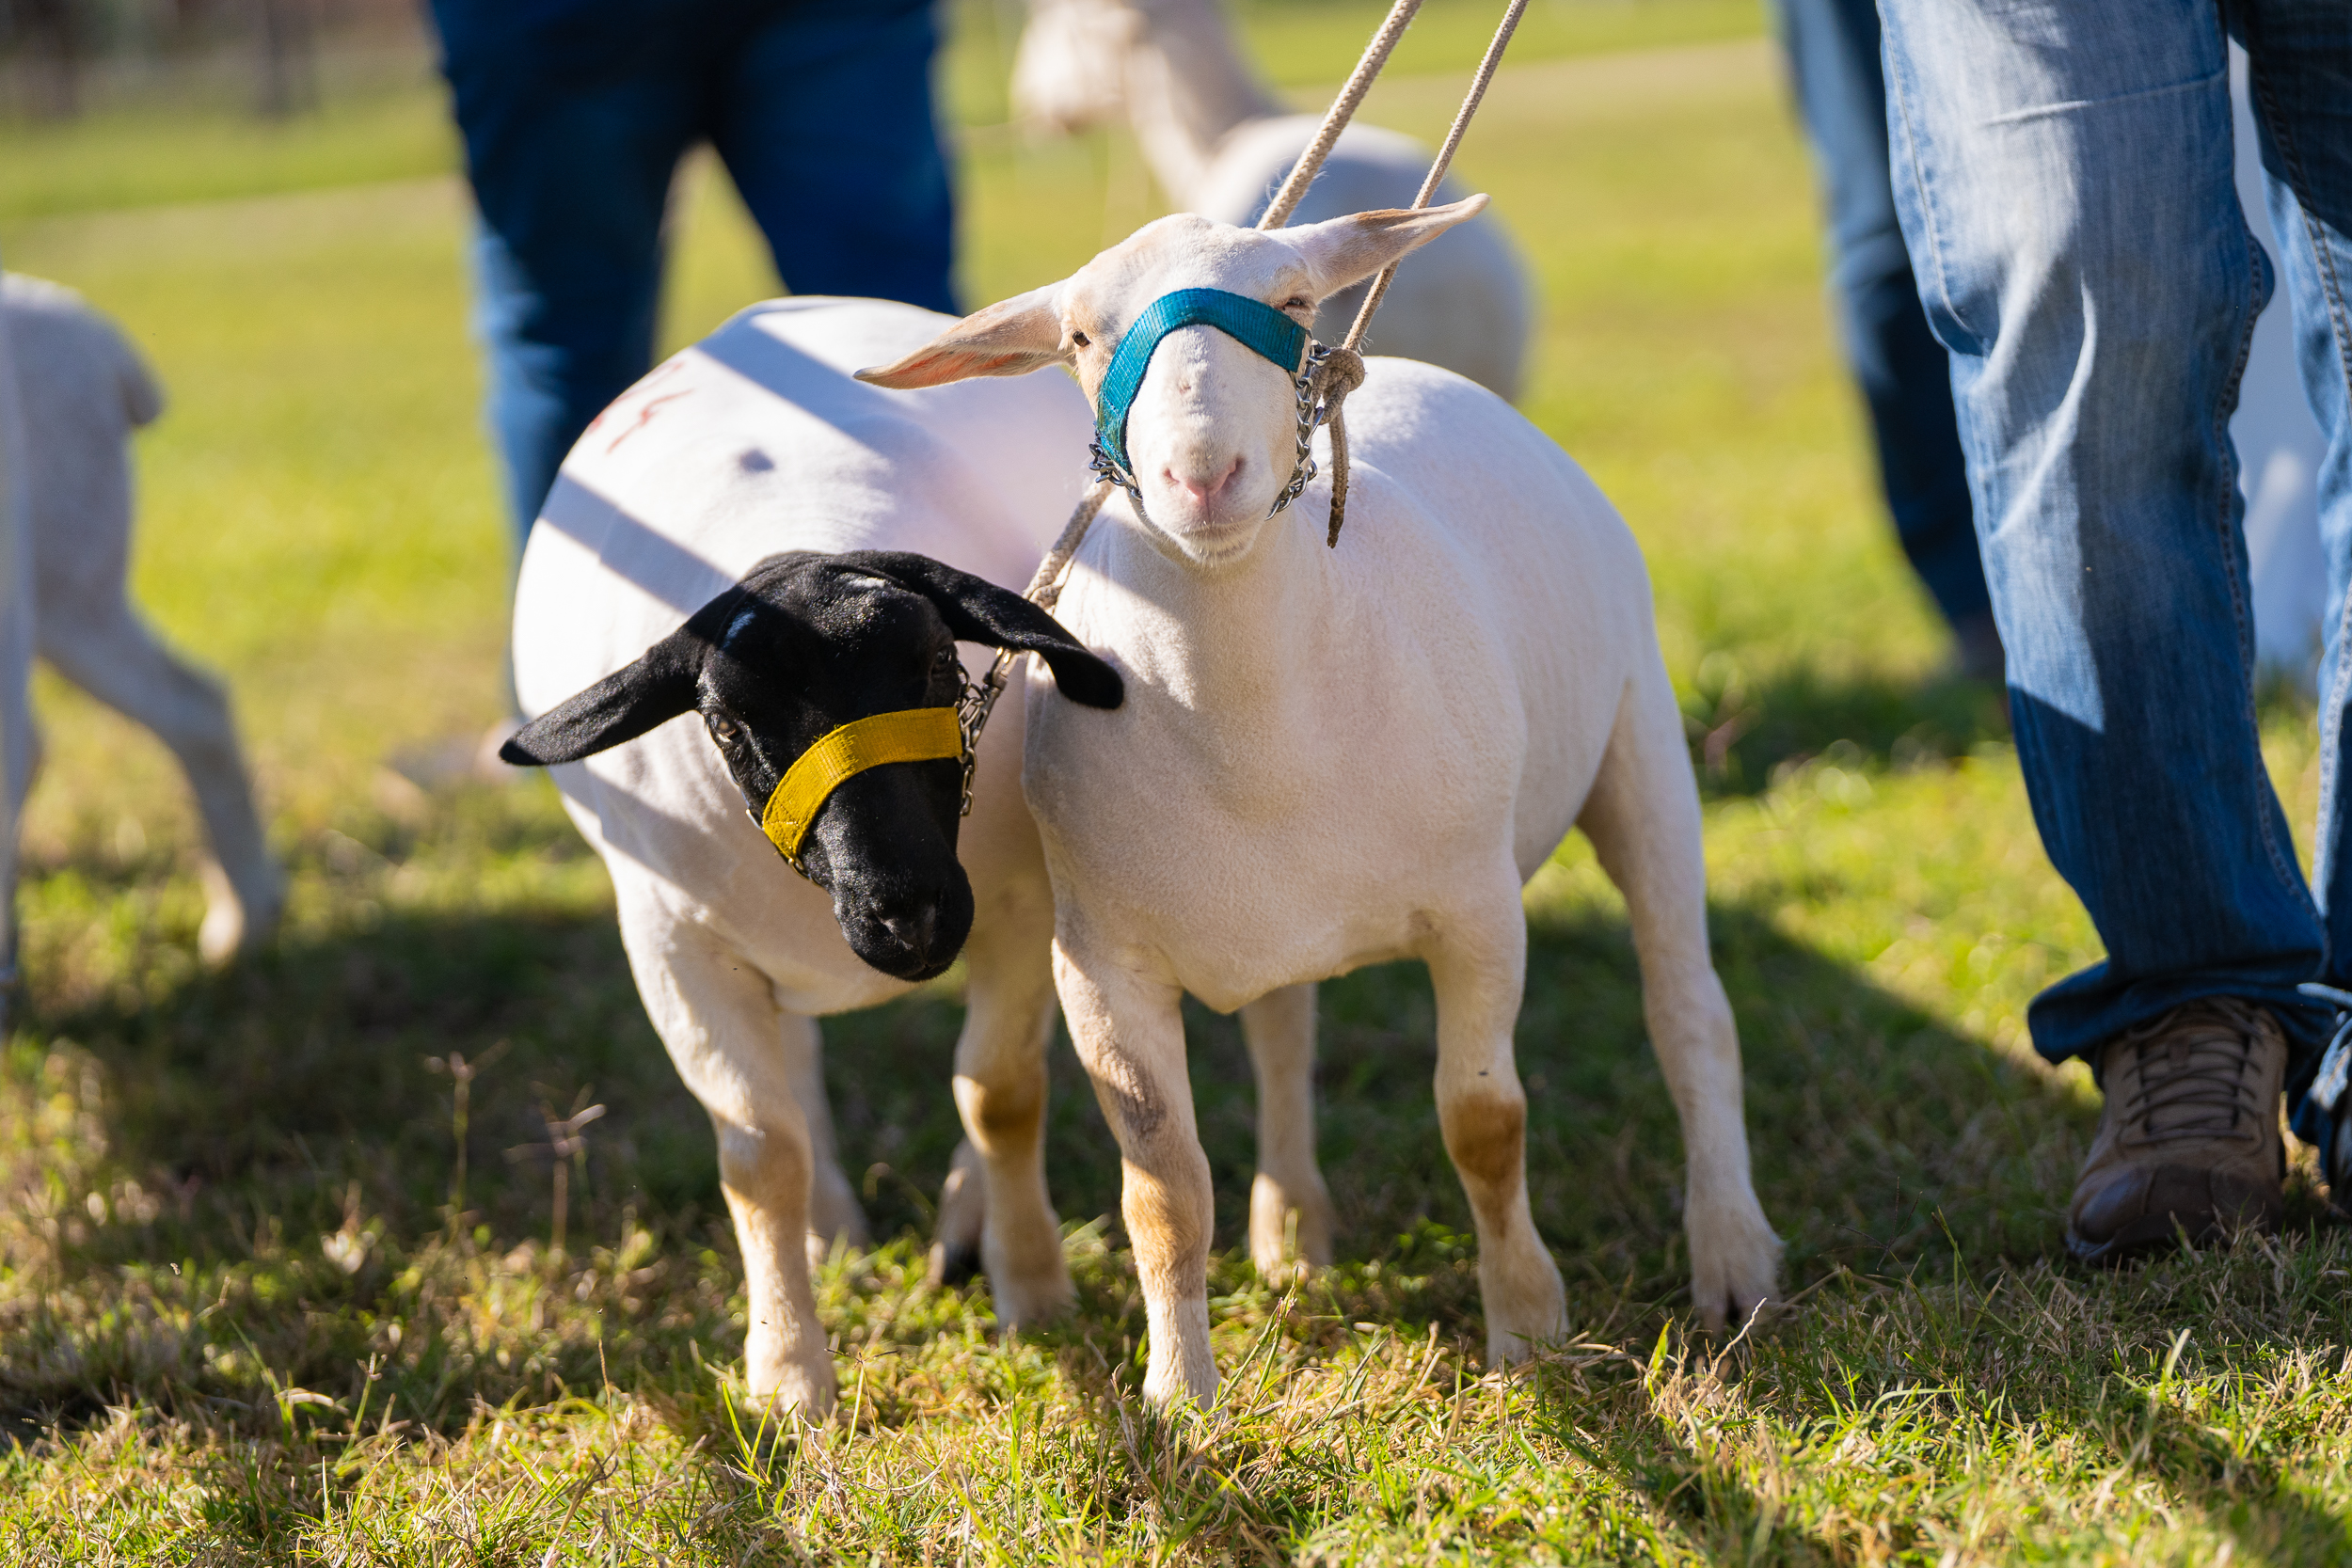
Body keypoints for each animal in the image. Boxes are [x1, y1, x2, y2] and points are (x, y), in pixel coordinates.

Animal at [866, 196, 1778, 1410]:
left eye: (1294, 300)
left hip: (1641, 743)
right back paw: (1293, 1229)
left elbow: (1484, 1123)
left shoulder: (1477, 909)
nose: (1202, 474)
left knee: (1689, 1012)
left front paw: (1529, 1331)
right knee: (1281, 1033)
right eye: (1080, 339)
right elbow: (1162, 1187)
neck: (1256, 732)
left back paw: (1732, 1255)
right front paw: (1180, 1392)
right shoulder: (1101, 963)